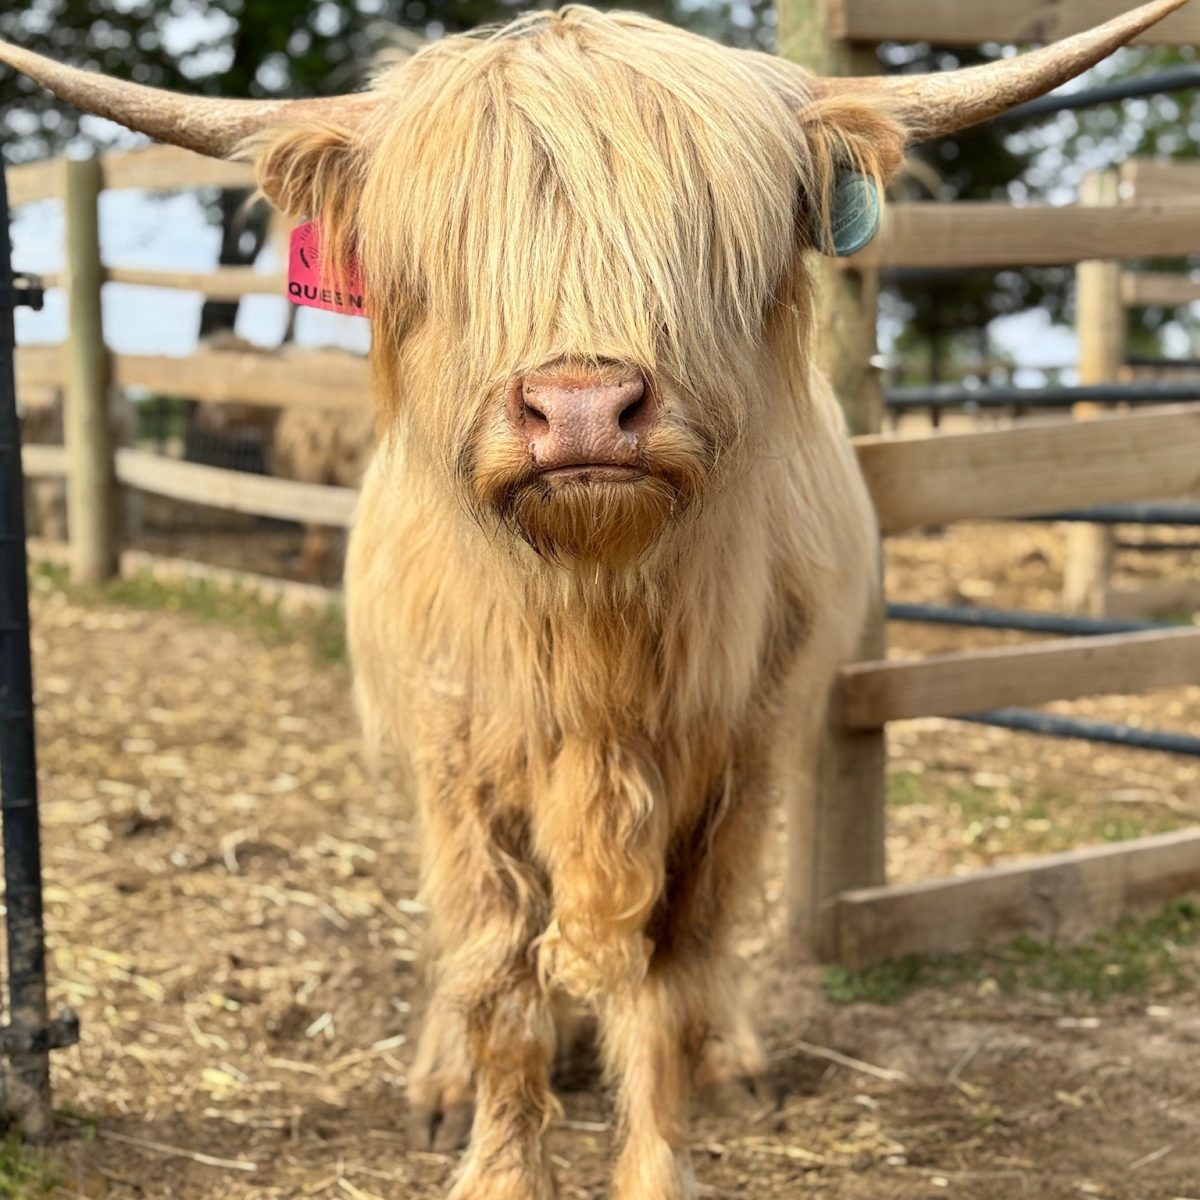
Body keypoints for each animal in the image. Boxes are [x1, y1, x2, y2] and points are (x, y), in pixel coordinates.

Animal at [2, 3, 1184, 1196]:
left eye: (714, 243)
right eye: (447, 249)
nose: (580, 408)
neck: (595, 627)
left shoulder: (736, 766)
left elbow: (673, 984)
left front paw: (663, 1151)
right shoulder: (460, 763)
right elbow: (499, 985)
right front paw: (493, 1158)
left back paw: (735, 1060)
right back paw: (438, 1082)